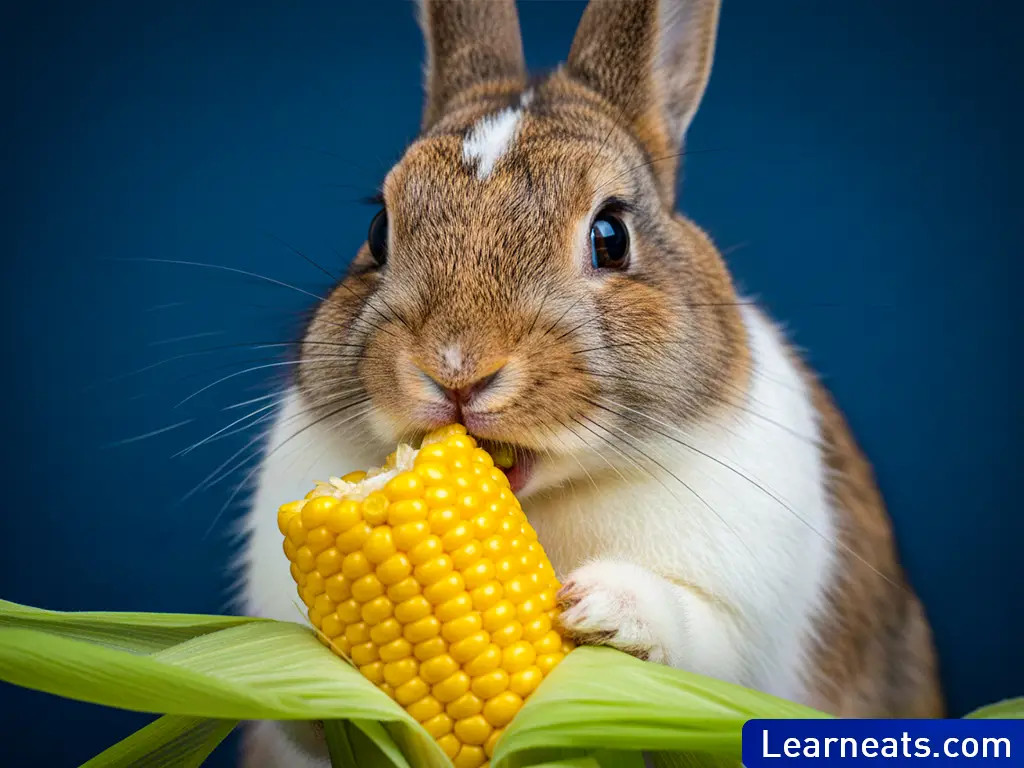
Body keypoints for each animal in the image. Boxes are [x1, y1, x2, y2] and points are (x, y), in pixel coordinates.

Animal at [238, 0, 944, 764]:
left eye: (611, 236)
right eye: (377, 231)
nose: (455, 367)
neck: (541, 500)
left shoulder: (743, 637)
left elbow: (697, 650)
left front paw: (607, 612)